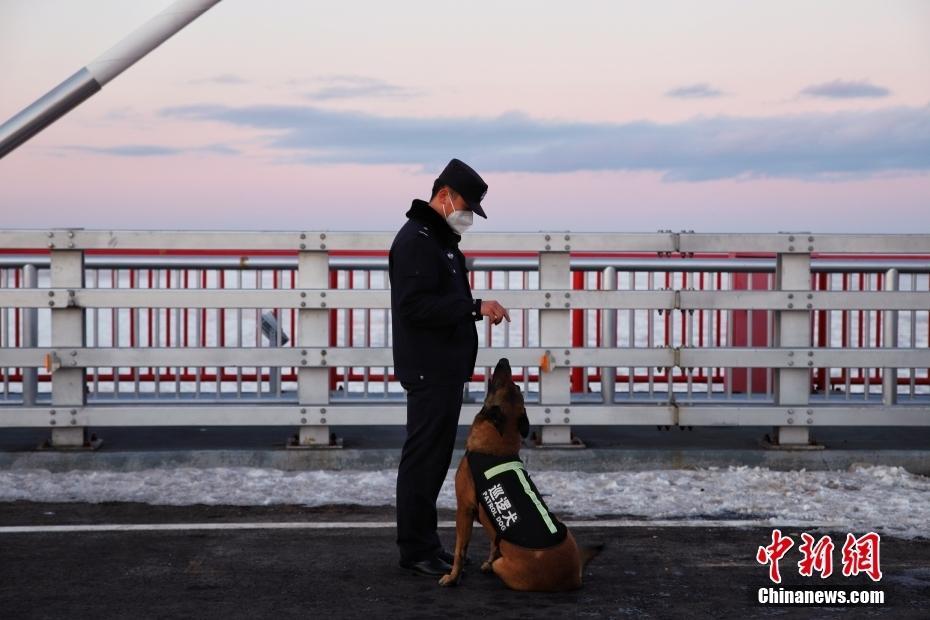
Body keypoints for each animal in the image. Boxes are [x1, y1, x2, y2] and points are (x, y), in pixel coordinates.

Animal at [438, 356, 600, 588]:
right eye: (515, 386)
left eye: (502, 383)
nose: (504, 359)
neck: (498, 443)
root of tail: (573, 575)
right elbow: (493, 542)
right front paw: (486, 561)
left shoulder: (464, 510)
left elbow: (460, 550)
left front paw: (453, 577)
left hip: (505, 565)